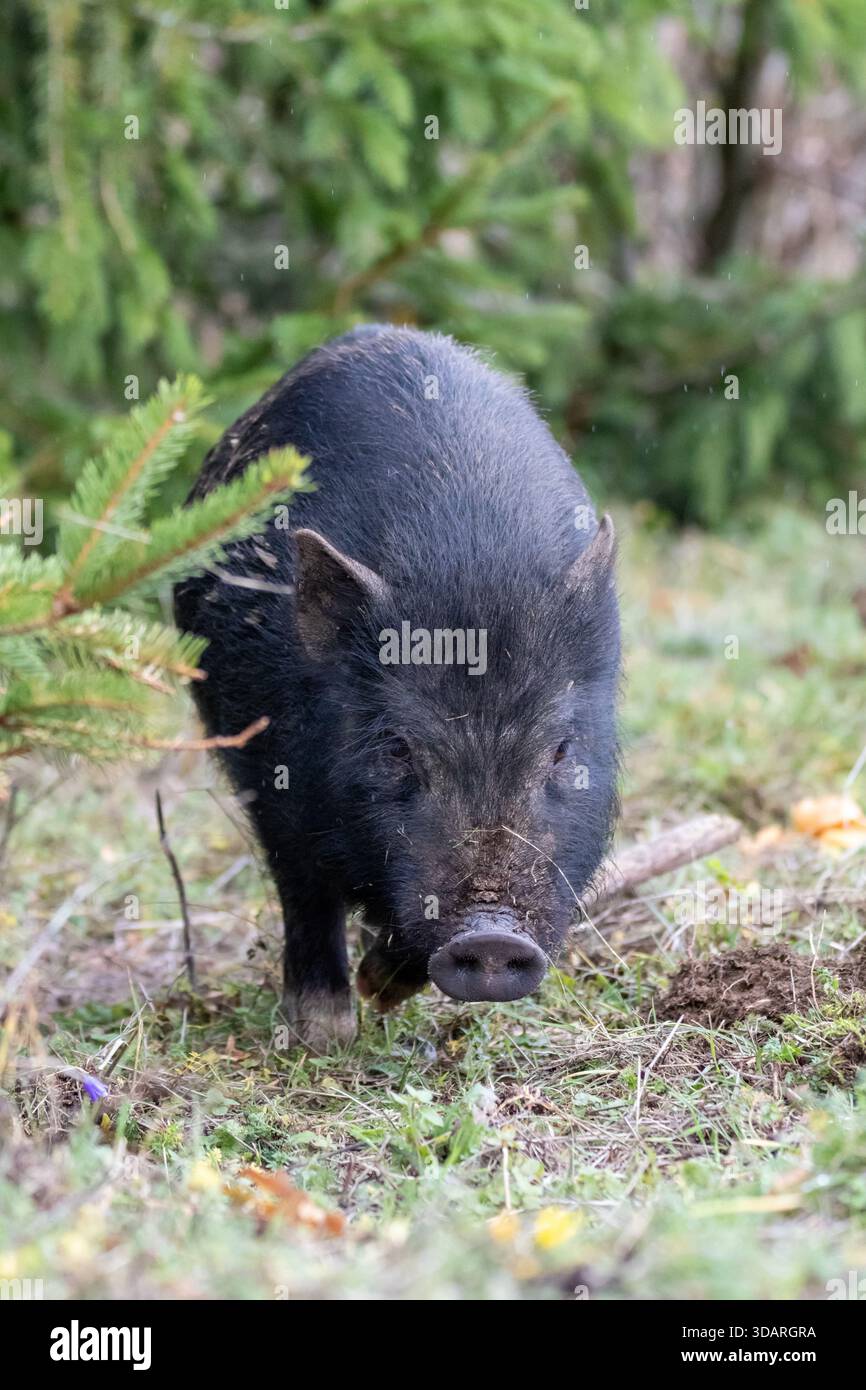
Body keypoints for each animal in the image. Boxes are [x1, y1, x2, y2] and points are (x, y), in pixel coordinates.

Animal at [174, 325, 620, 1050]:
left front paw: (378, 990)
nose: (492, 937)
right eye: (396, 748)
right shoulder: (273, 776)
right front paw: (327, 1033)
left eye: (560, 751)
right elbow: (304, 890)